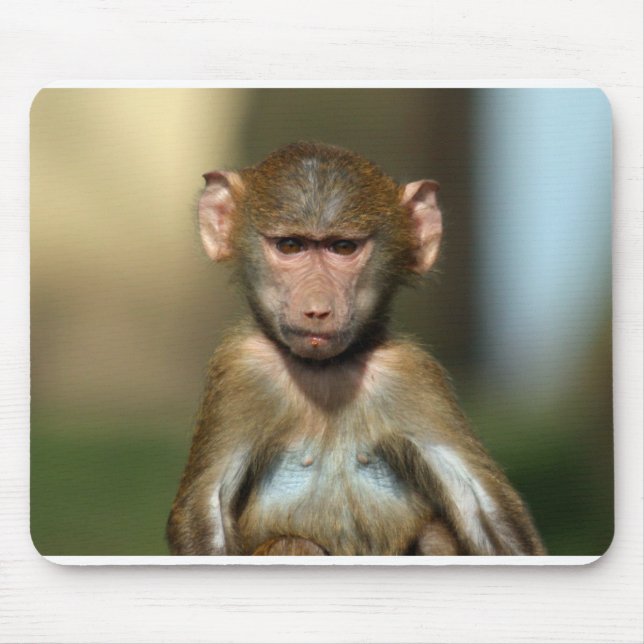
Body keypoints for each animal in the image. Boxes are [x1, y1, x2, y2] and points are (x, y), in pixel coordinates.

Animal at [167, 141, 545, 556]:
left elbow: (484, 509)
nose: (318, 309)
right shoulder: (240, 369)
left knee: (435, 533)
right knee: (294, 545)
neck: (325, 370)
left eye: (343, 247)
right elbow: (207, 510)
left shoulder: (412, 373)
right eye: (290, 245)